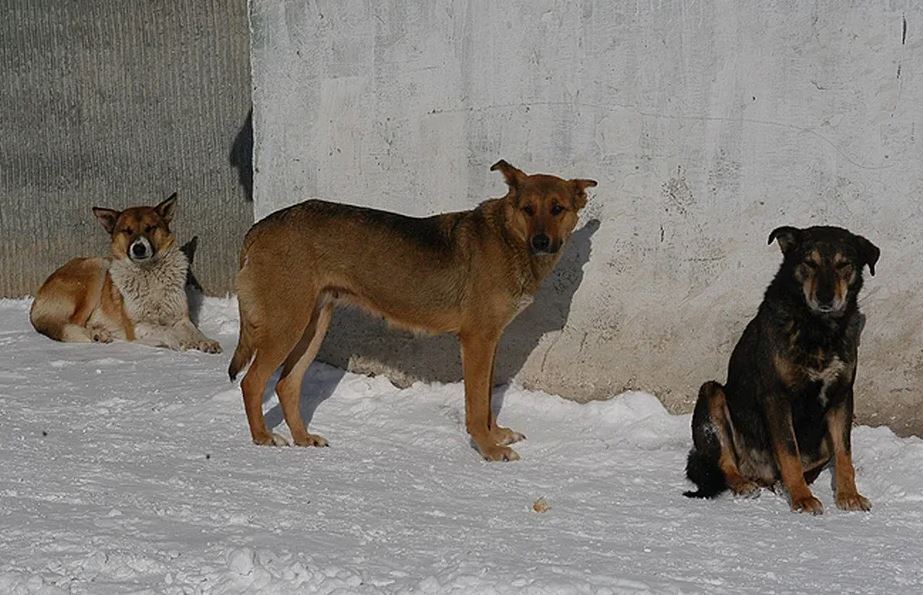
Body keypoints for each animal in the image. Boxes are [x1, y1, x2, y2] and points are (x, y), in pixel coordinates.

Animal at [30, 196, 222, 354]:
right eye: (127, 231)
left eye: (150, 228)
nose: (139, 248)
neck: (149, 274)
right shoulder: (136, 327)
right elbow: (166, 330)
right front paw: (181, 341)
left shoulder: (181, 318)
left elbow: (195, 331)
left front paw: (205, 341)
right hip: (97, 268)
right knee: (73, 324)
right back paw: (96, 334)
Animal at [227, 159, 596, 460]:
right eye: (528, 209)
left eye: (558, 208)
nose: (541, 243)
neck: (509, 238)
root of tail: (259, 228)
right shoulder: (477, 340)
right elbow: (477, 405)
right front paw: (488, 448)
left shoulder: (490, 341)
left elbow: (487, 399)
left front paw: (496, 435)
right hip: (286, 325)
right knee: (252, 382)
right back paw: (263, 437)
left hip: (313, 326)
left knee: (286, 385)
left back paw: (303, 437)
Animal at [684, 226, 880, 516]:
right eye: (809, 263)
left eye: (844, 265)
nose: (825, 298)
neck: (818, 329)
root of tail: (759, 472)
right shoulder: (777, 397)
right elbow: (788, 451)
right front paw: (802, 498)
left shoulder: (842, 396)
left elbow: (844, 455)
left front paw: (849, 495)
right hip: (712, 395)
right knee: (726, 462)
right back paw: (745, 484)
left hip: (822, 439)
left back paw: (780, 483)